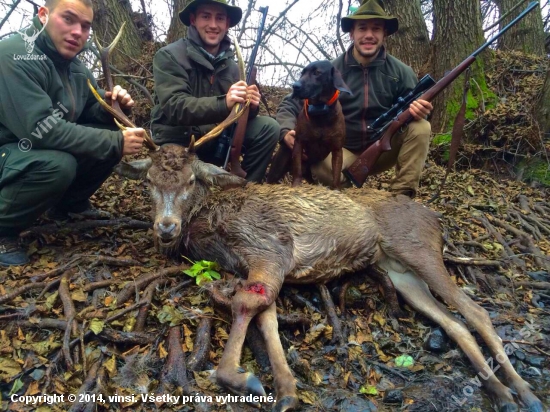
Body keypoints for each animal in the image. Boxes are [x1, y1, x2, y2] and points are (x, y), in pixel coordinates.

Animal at [268, 60, 354, 189]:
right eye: (302, 73)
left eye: (317, 72)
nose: (295, 86)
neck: (320, 113)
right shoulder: (299, 142)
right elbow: (297, 169)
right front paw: (296, 185)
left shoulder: (337, 149)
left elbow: (336, 174)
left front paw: (336, 189)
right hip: (279, 165)